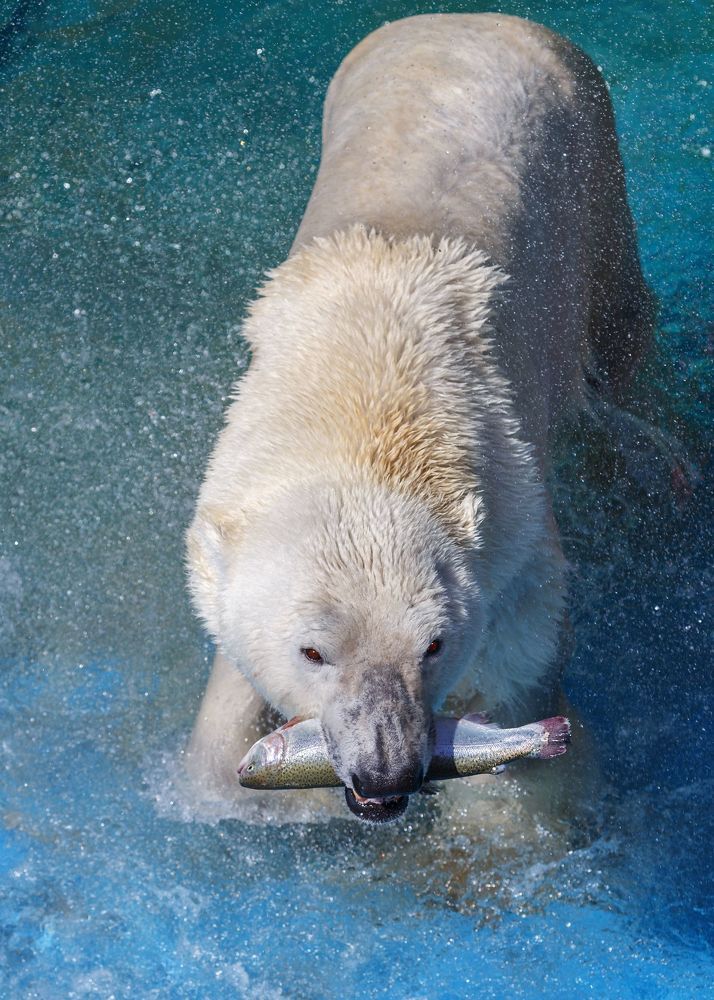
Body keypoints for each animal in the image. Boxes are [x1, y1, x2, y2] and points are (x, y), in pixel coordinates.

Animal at [184, 13, 652, 831]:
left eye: (434, 643)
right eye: (313, 651)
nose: (386, 771)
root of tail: (469, 17)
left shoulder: (514, 534)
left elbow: (520, 687)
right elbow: (229, 685)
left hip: (593, 162)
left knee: (624, 331)